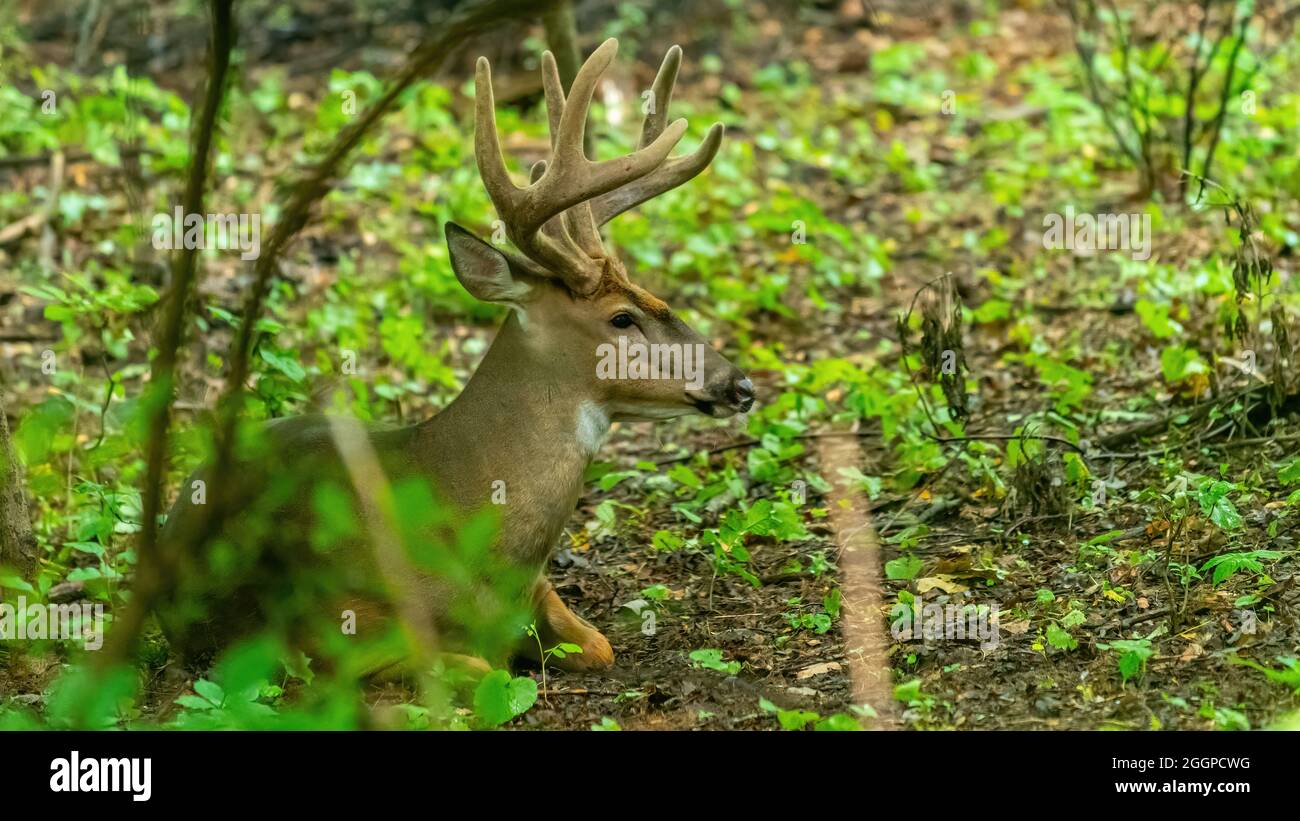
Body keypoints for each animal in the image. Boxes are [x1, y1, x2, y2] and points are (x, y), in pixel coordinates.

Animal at [156, 38, 753, 680]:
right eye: (621, 318)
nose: (740, 386)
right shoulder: (337, 626)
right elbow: (477, 671)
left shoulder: (537, 591)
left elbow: (599, 646)